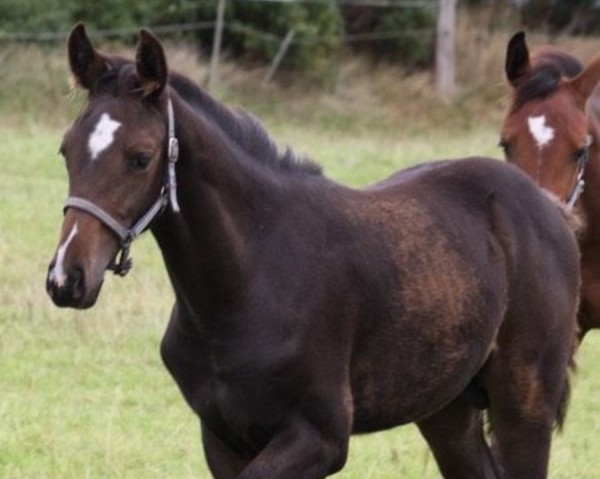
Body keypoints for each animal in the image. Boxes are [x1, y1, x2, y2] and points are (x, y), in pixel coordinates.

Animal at [47, 24, 580, 478]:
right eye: (66, 150)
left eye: (141, 158)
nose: (67, 279)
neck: (248, 279)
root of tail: (550, 208)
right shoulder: (221, 438)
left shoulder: (319, 438)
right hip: (447, 409)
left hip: (524, 405)